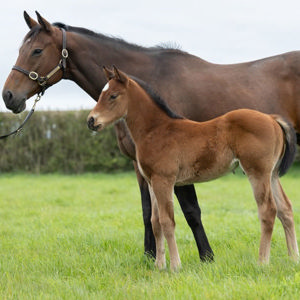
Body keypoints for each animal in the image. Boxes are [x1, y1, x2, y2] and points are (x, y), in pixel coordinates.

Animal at [86, 66, 298, 272]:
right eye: (101, 94)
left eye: (113, 95)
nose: (91, 121)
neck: (156, 130)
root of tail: (272, 118)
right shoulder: (152, 181)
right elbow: (155, 222)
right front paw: (159, 265)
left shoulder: (164, 180)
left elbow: (167, 221)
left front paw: (175, 266)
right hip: (272, 175)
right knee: (285, 209)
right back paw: (293, 259)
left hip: (257, 172)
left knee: (268, 210)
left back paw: (262, 262)